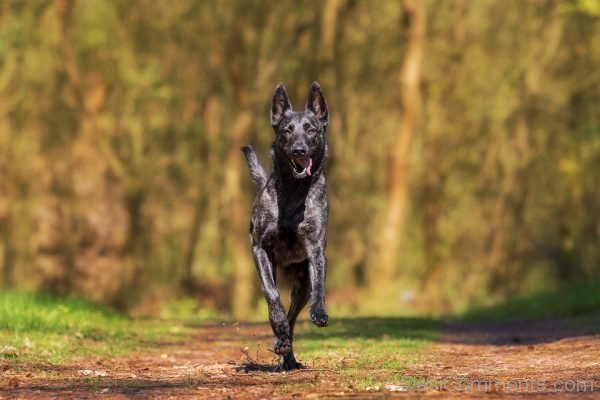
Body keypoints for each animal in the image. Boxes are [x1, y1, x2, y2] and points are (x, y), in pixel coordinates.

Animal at [241, 82, 330, 372]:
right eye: (286, 131)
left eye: (311, 130)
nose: (299, 150)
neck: (293, 191)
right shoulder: (260, 249)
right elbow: (272, 296)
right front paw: (277, 329)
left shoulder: (316, 250)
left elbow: (320, 285)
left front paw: (319, 312)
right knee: (282, 311)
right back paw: (281, 343)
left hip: (301, 285)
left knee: (294, 317)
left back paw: (288, 356)